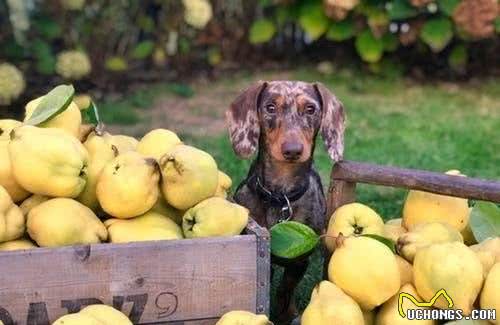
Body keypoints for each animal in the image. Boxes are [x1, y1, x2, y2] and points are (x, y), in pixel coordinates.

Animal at [226, 80, 344, 322]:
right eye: (270, 107)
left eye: (310, 109)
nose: (292, 150)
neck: (281, 196)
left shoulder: (299, 262)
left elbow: (285, 290)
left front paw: (287, 314)